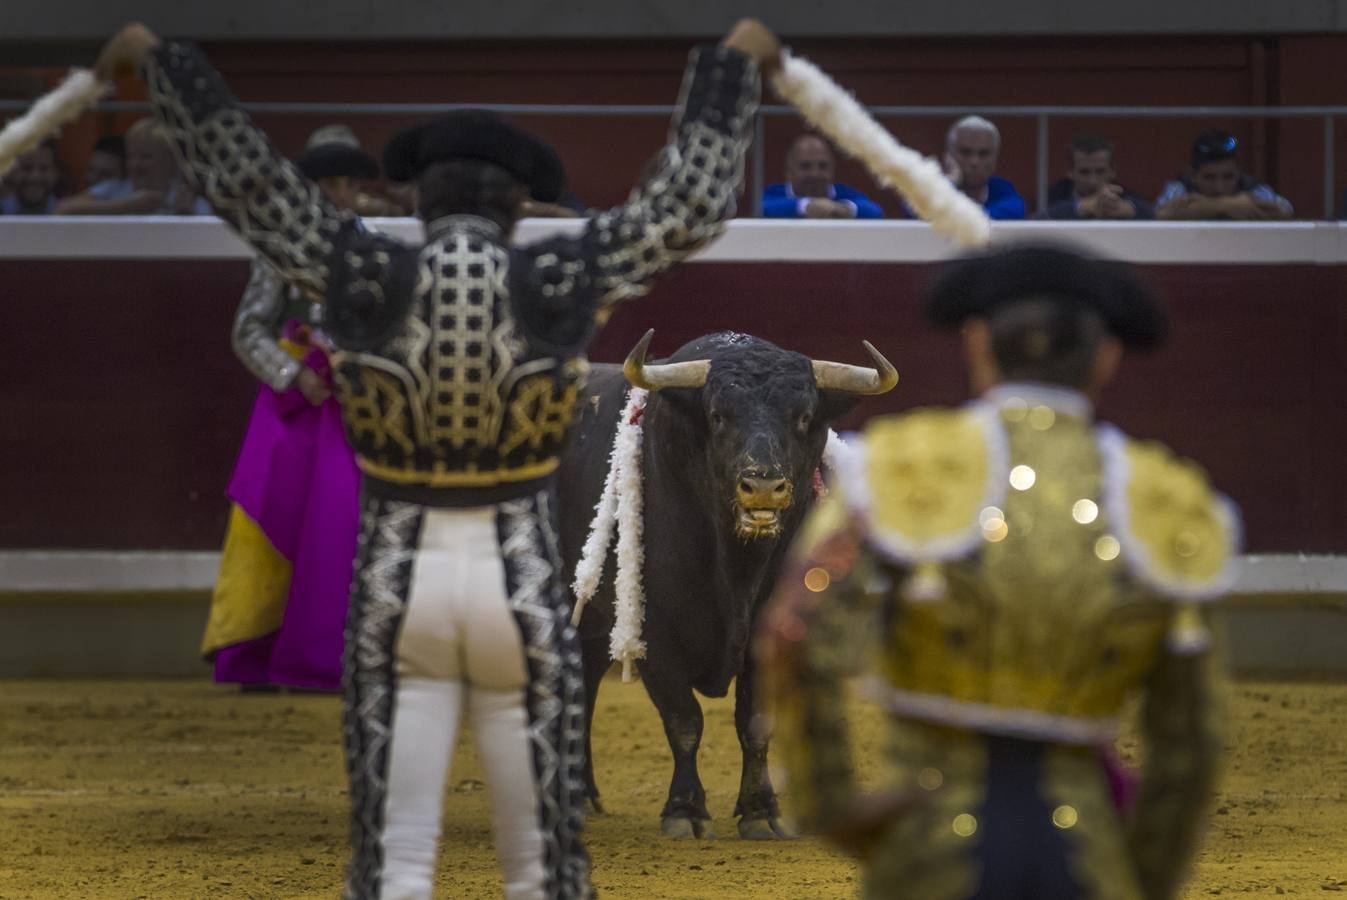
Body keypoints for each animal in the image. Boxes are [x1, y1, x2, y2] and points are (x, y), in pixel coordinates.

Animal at [557, 334, 894, 840]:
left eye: (804, 416)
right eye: (718, 415)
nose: (763, 487)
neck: (736, 570)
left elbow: (754, 722)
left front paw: (761, 811)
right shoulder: (657, 633)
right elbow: (684, 721)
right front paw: (685, 811)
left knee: (587, 679)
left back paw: (586, 794)